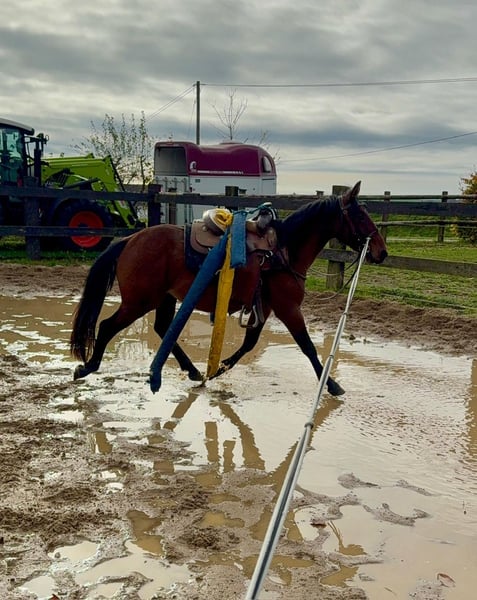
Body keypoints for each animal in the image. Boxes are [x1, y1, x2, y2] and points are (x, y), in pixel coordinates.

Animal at [70, 181, 387, 396]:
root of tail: (130, 240)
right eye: (361, 216)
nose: (381, 252)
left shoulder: (265, 307)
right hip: (139, 301)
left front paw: (218, 369)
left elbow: (249, 344)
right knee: (108, 326)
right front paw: (331, 384)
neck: (284, 251)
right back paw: (87, 366)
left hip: (165, 298)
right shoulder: (288, 308)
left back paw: (194, 371)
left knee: (162, 328)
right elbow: (307, 346)